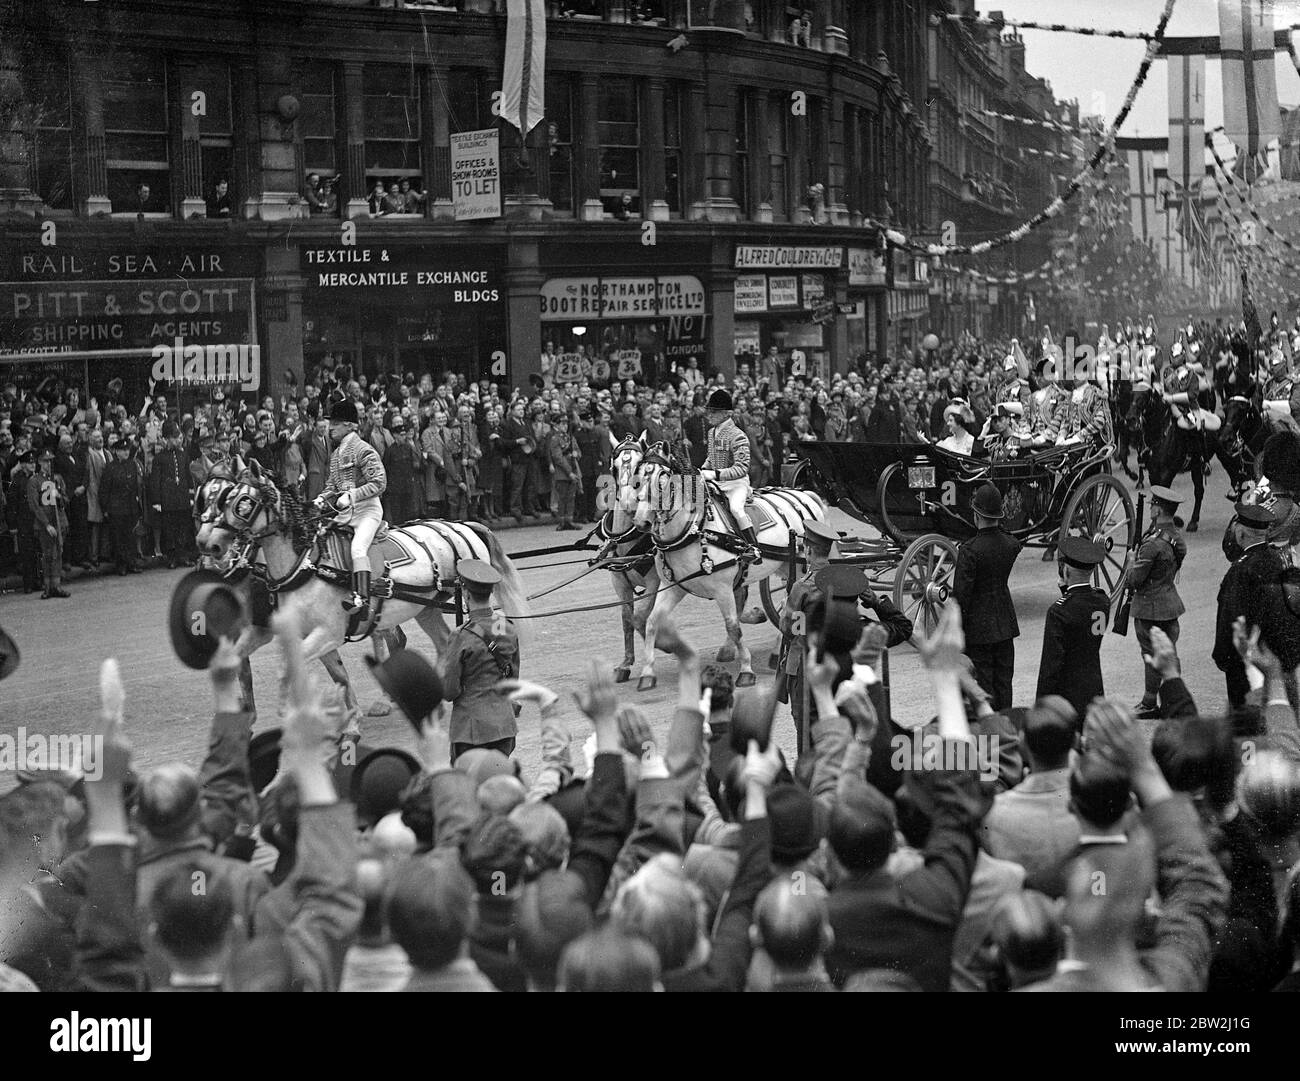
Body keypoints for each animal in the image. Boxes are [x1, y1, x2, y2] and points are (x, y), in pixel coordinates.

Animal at [193, 459, 527, 712]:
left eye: (243, 502)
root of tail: (461, 525)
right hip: (424, 609)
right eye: (209, 499)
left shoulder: (326, 633)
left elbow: (290, 670)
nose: (210, 544)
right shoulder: (283, 630)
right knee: (444, 642)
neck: (306, 563)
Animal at [631, 444, 832, 686]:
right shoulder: (675, 588)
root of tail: (804, 494)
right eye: (637, 479)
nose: (641, 521)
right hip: (785, 566)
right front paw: (647, 672)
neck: (694, 530)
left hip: (803, 566)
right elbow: (652, 622)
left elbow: (733, 626)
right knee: (786, 604)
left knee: (790, 607)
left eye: (662, 479)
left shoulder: (722, 588)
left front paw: (746, 669)